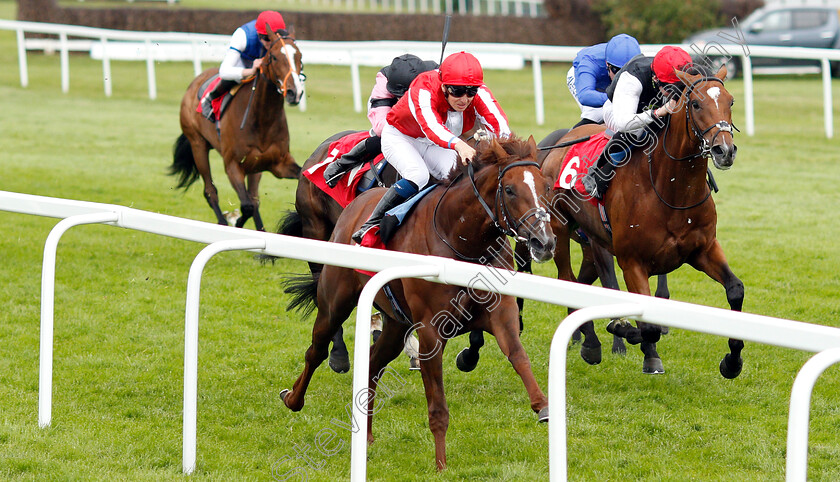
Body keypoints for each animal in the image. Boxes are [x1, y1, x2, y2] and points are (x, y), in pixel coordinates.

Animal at [169, 26, 304, 232]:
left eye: (300, 57)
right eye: (273, 57)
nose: (294, 92)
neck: (262, 119)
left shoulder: (279, 164)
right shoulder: (232, 165)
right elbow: (246, 206)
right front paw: (235, 222)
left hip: (255, 166)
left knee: (253, 198)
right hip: (198, 145)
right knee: (211, 191)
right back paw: (223, 222)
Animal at [284, 134, 556, 468]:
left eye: (546, 186)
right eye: (510, 190)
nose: (544, 243)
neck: (461, 240)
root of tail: (356, 206)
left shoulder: (500, 313)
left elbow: (518, 354)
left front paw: (543, 405)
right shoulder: (430, 331)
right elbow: (437, 405)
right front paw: (441, 465)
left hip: (396, 324)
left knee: (373, 362)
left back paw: (368, 435)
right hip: (335, 301)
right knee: (317, 351)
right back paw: (293, 399)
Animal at [544, 65, 740, 376]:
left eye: (730, 101)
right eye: (696, 105)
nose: (725, 150)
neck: (670, 189)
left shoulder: (704, 249)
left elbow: (735, 290)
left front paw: (732, 361)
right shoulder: (632, 262)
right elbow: (647, 324)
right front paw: (627, 333)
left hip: (593, 241)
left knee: (583, 282)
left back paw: (586, 338)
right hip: (560, 230)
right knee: (567, 279)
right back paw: (593, 342)